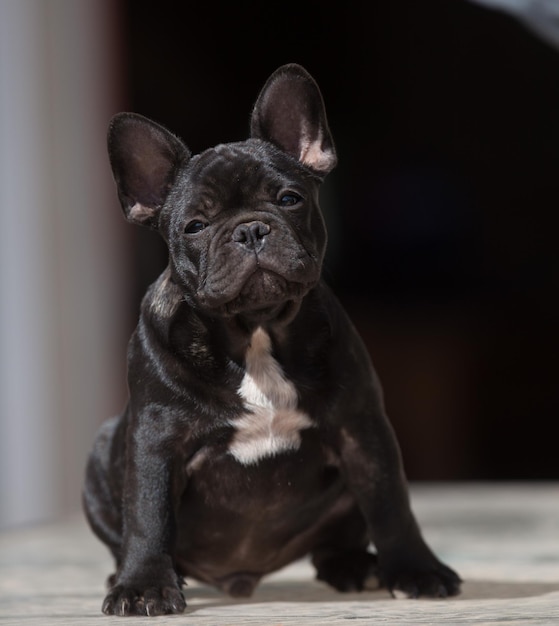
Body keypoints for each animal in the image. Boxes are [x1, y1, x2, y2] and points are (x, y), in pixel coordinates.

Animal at [82, 63, 460, 616]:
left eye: (288, 199)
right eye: (195, 226)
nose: (250, 230)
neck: (256, 333)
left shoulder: (362, 431)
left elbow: (391, 505)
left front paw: (416, 570)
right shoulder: (155, 441)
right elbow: (148, 517)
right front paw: (143, 586)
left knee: (337, 540)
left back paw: (355, 566)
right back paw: (133, 574)